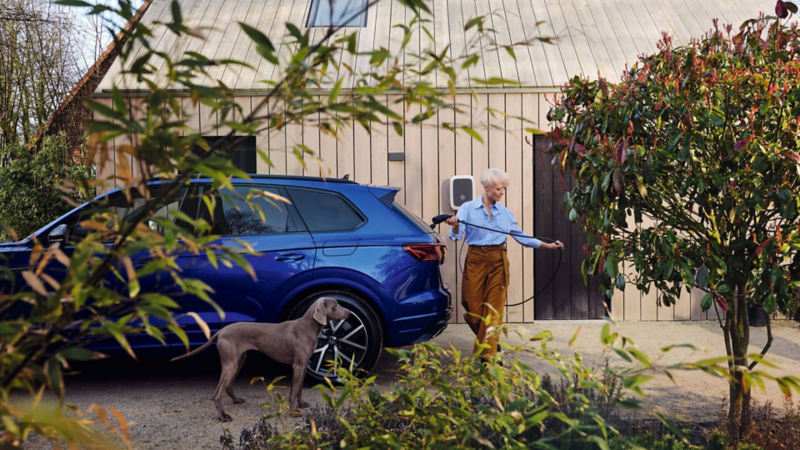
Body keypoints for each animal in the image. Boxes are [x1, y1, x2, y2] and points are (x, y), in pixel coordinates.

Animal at [172, 298, 350, 420]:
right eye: (334, 306)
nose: (349, 313)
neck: (307, 327)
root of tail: (221, 331)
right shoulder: (298, 365)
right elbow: (293, 391)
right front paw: (294, 411)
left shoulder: (304, 364)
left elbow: (298, 389)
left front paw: (301, 404)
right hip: (231, 363)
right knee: (216, 394)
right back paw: (223, 417)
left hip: (239, 361)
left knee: (228, 386)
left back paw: (236, 400)